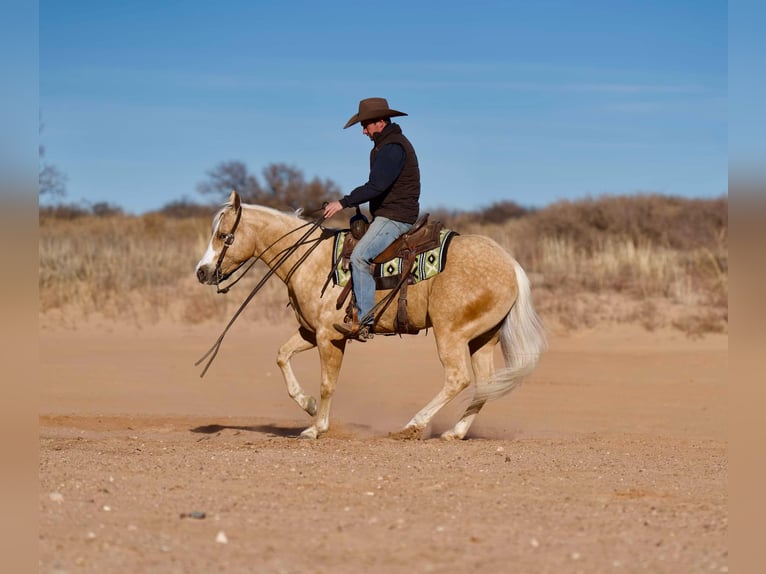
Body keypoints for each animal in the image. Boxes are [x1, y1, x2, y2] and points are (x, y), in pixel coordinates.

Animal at [195, 190, 547, 440]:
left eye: (224, 236)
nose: (202, 272)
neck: (310, 258)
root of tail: (510, 264)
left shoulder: (329, 336)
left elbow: (327, 383)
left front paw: (316, 428)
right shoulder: (311, 332)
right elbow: (282, 356)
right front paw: (308, 406)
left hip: (452, 333)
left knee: (458, 378)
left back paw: (413, 425)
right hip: (482, 338)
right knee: (485, 383)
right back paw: (454, 432)